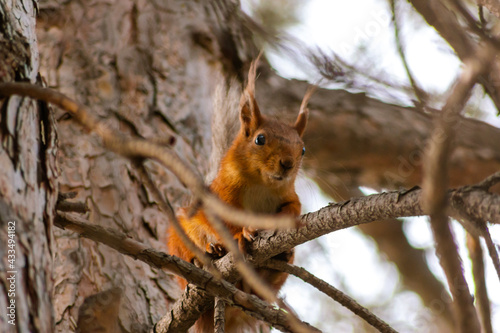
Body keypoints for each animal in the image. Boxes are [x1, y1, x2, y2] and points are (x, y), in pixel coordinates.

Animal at [167, 55, 308, 330]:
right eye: (260, 139)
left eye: (303, 149)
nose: (287, 164)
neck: (261, 185)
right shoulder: (220, 198)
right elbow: (225, 222)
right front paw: (241, 235)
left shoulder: (289, 195)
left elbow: (293, 207)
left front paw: (285, 218)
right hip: (178, 238)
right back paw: (209, 253)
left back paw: (280, 258)